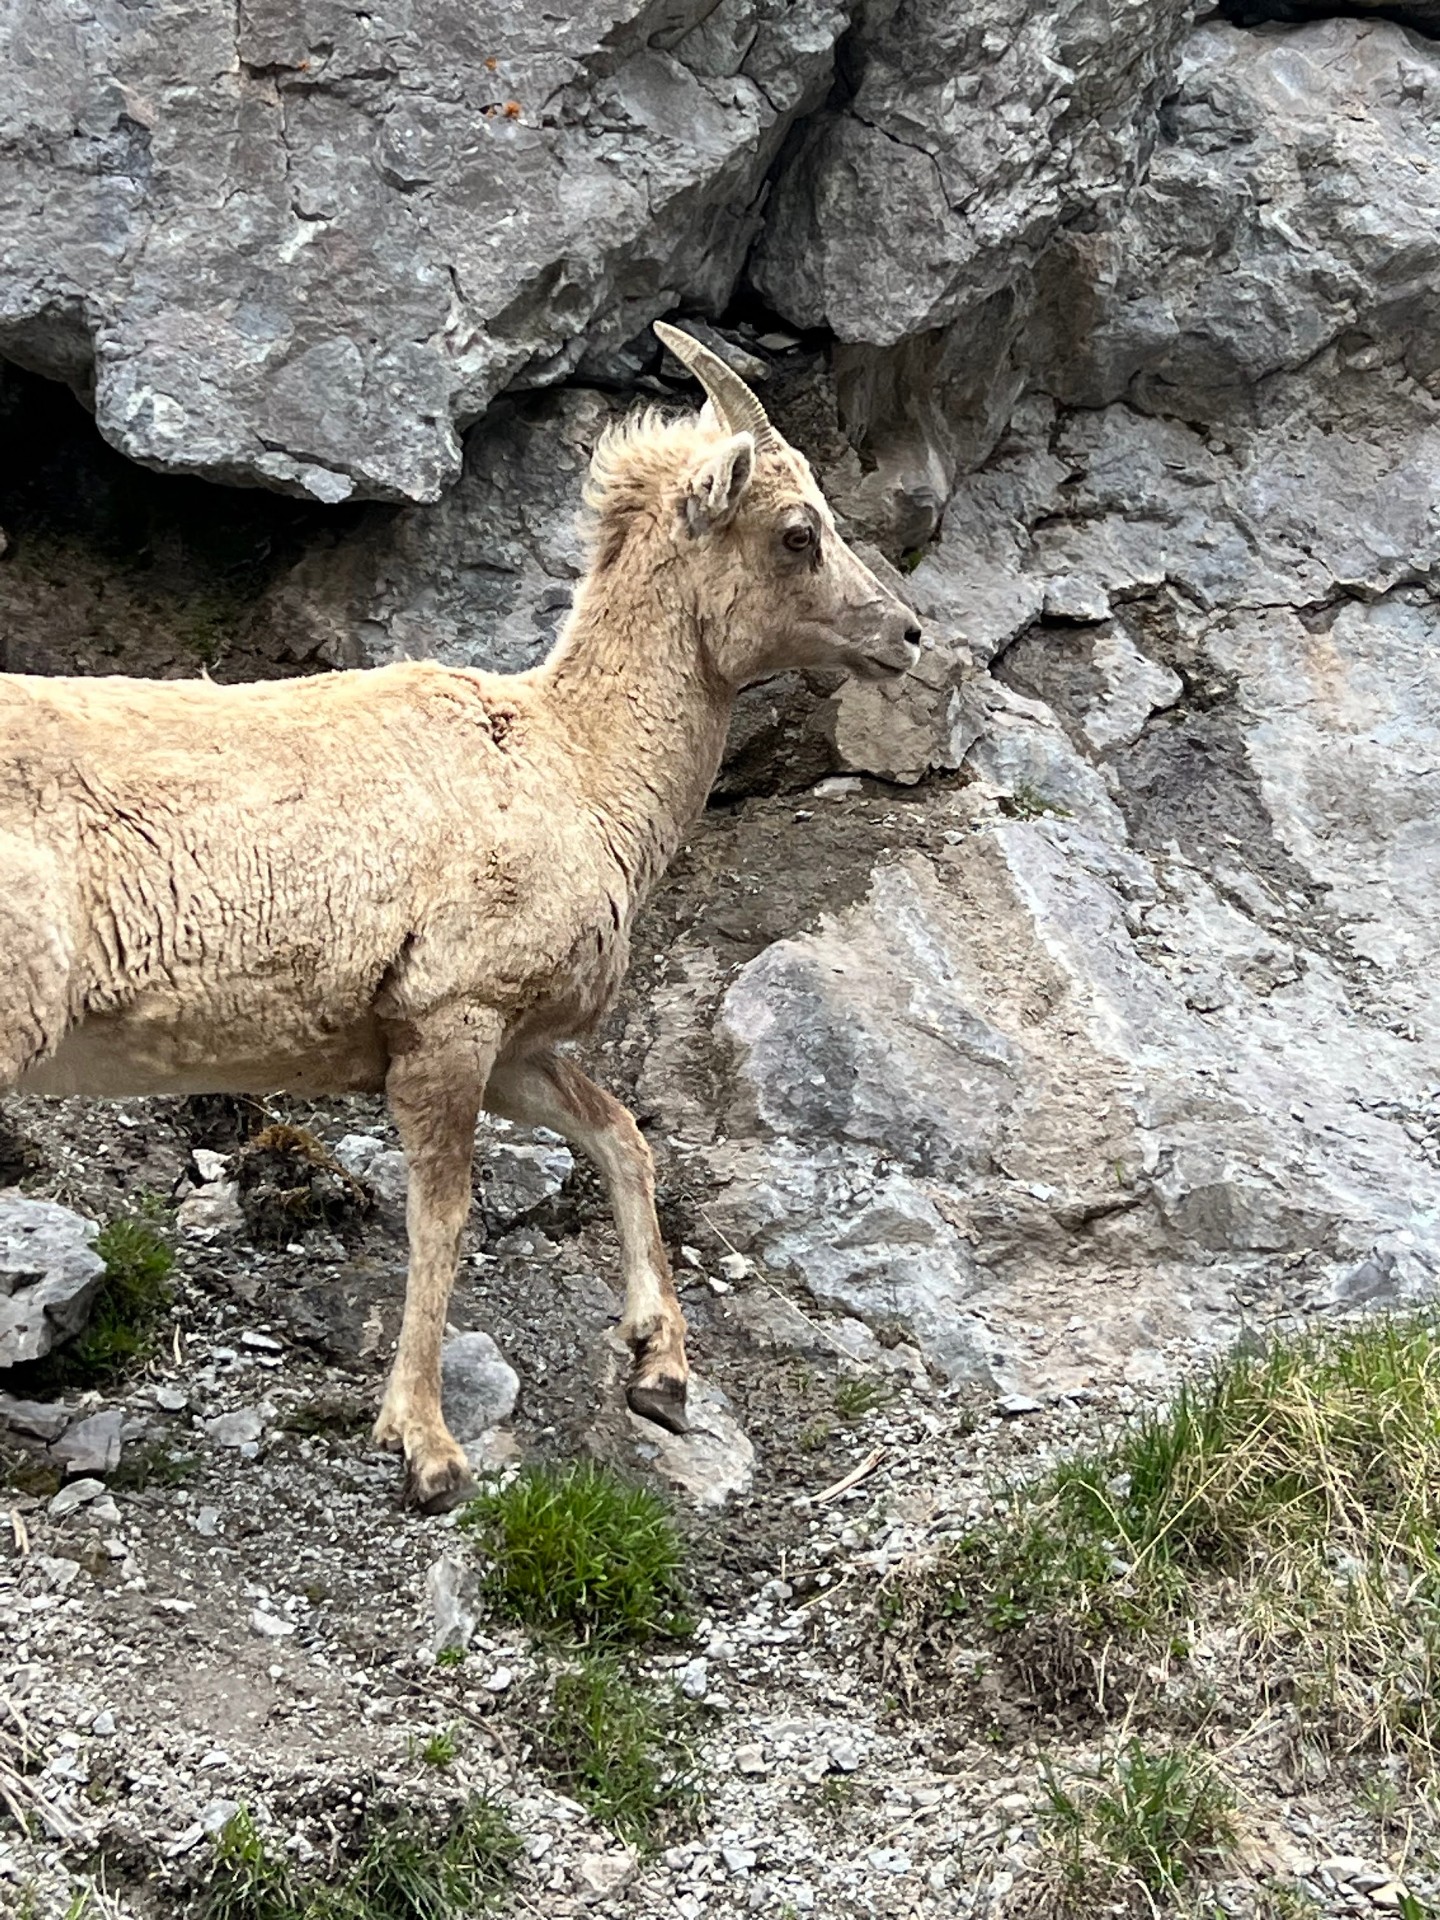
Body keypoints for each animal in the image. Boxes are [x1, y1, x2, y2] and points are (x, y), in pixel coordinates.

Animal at [0, 323, 922, 1510]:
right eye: (799, 532)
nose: (907, 633)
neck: (576, 765)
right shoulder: (452, 1019)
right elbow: (441, 1216)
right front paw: (428, 1447)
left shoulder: (508, 1047)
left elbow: (621, 1137)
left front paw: (660, 1371)